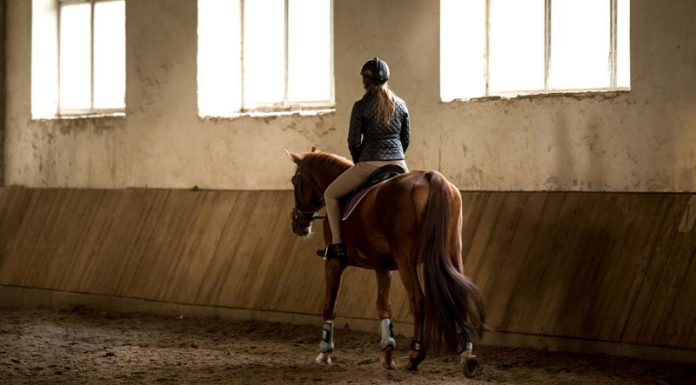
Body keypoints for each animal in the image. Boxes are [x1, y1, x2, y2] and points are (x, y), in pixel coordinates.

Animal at [286, 148, 486, 376]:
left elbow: (329, 305)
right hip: (452, 253)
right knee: (459, 294)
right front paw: (388, 354)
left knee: (418, 299)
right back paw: (467, 356)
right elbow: (383, 307)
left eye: (295, 180)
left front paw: (325, 352)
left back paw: (415, 356)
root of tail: (431, 177)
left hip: (406, 259)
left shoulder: (334, 263)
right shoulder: (382, 267)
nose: (298, 224)